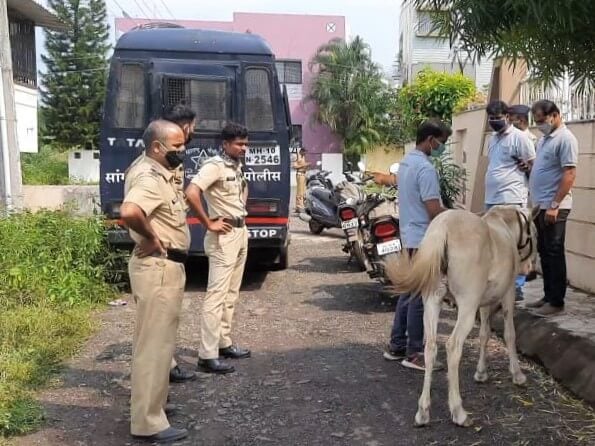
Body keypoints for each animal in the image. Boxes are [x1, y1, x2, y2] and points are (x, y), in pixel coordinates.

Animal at [386, 207, 540, 426]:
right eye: (535, 234)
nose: (532, 271)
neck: (503, 226)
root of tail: (443, 228)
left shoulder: (484, 302)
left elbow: (484, 334)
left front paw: (481, 372)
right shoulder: (507, 294)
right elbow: (510, 334)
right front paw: (517, 374)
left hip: (433, 301)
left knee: (431, 347)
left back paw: (423, 411)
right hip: (467, 305)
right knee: (453, 346)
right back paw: (458, 411)